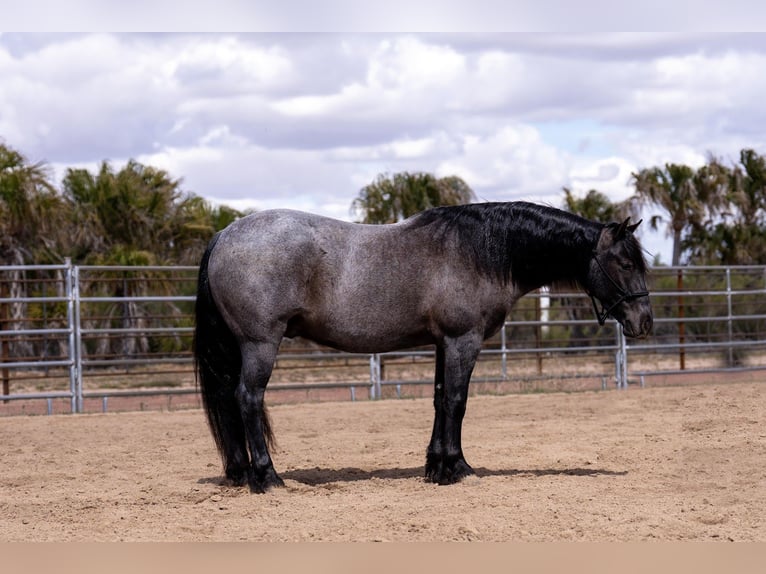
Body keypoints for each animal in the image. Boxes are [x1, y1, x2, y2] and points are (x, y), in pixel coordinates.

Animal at [194, 201, 653, 493]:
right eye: (625, 263)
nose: (644, 322)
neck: (480, 252)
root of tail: (224, 235)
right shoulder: (463, 340)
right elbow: (456, 401)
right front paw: (456, 469)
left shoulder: (442, 343)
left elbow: (438, 399)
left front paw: (436, 466)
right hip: (260, 343)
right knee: (248, 398)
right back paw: (267, 477)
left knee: (230, 400)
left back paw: (241, 473)